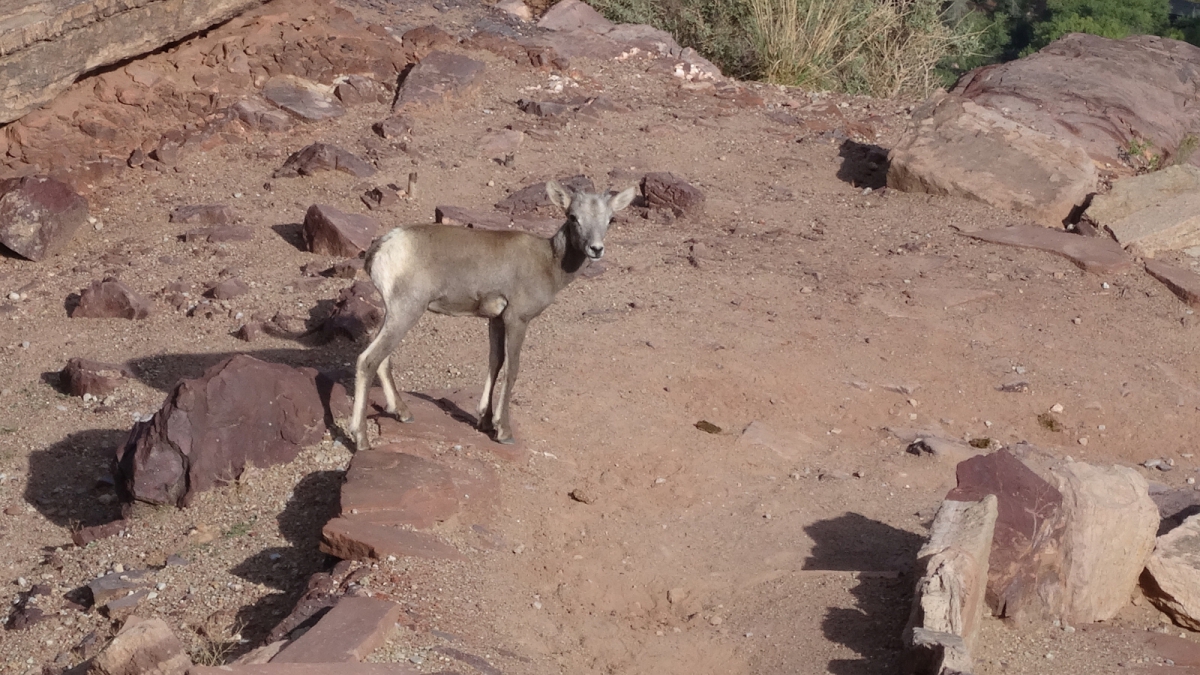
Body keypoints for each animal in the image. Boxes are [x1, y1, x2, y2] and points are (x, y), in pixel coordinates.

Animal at [348, 180, 638, 446]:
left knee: (381, 358)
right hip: (407, 311)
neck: (549, 263)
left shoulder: (496, 320)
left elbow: (495, 363)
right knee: (368, 360)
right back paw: (361, 438)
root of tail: (382, 247)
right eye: (573, 216)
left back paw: (403, 413)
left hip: (393, 314)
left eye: (610, 219)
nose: (596, 249)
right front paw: (504, 431)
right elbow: (512, 369)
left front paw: (485, 422)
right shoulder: (516, 320)